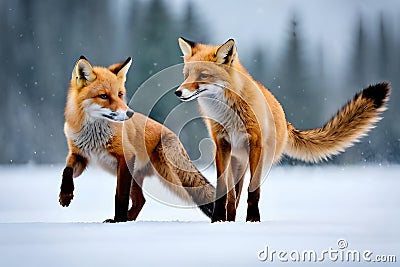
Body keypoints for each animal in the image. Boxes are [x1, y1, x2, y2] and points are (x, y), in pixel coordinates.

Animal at [58, 56, 216, 222]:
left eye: (120, 94)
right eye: (104, 96)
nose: (130, 113)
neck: (95, 137)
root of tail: (174, 135)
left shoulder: (126, 156)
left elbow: (120, 195)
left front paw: (119, 221)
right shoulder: (80, 155)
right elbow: (66, 170)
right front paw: (65, 194)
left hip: (170, 175)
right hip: (139, 176)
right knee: (140, 201)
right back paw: (129, 218)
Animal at [175, 37, 390, 222]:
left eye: (203, 76)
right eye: (186, 76)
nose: (178, 92)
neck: (231, 115)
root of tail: (286, 121)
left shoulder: (256, 145)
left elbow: (254, 192)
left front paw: (253, 221)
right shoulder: (222, 145)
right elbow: (222, 190)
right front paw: (218, 221)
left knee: (239, 194)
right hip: (235, 162)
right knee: (232, 196)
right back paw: (229, 219)